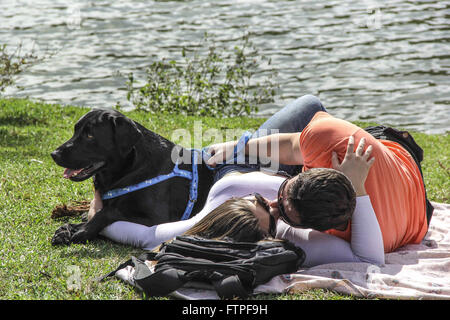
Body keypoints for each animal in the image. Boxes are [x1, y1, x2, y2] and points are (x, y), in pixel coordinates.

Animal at [50, 109, 215, 246]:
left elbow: (109, 211)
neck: (131, 168)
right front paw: (67, 229)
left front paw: (83, 231)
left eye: (90, 135)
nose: (54, 154)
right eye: (75, 131)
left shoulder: (158, 220)